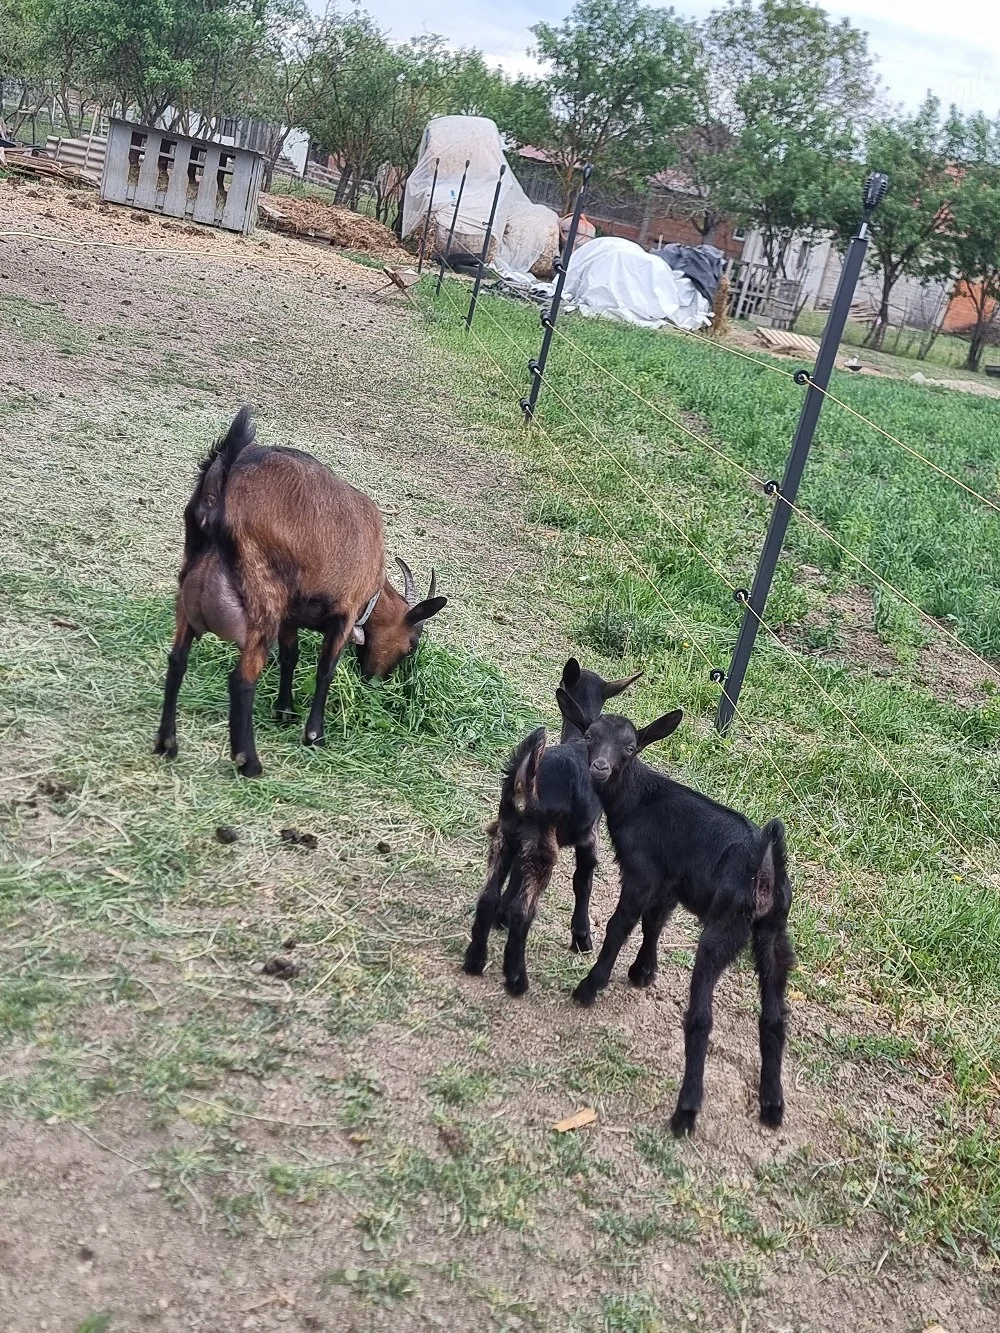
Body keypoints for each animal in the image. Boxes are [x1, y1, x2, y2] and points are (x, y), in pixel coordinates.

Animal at [154, 407, 447, 776]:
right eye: (411, 647)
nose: (376, 681)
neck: (374, 587)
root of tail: (221, 482)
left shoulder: (292, 615)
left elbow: (290, 657)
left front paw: (284, 710)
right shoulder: (344, 613)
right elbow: (325, 669)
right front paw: (314, 734)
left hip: (192, 585)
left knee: (178, 658)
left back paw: (167, 744)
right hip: (262, 600)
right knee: (242, 678)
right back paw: (249, 762)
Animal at [463, 658, 641, 995]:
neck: (578, 740)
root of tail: (525, 780)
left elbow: (514, 878)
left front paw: (500, 918)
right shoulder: (589, 837)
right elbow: (583, 881)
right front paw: (582, 937)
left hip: (507, 834)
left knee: (487, 895)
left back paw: (475, 961)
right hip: (542, 846)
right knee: (524, 912)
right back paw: (517, 979)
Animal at [555, 689, 795, 1136]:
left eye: (631, 747)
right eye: (590, 736)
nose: (599, 767)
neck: (638, 800)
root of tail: (765, 865)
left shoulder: (642, 871)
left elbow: (620, 925)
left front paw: (590, 986)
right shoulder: (669, 881)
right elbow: (654, 922)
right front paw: (643, 972)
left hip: (723, 927)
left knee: (701, 1017)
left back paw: (685, 1112)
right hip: (774, 932)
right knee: (774, 1017)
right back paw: (772, 1106)